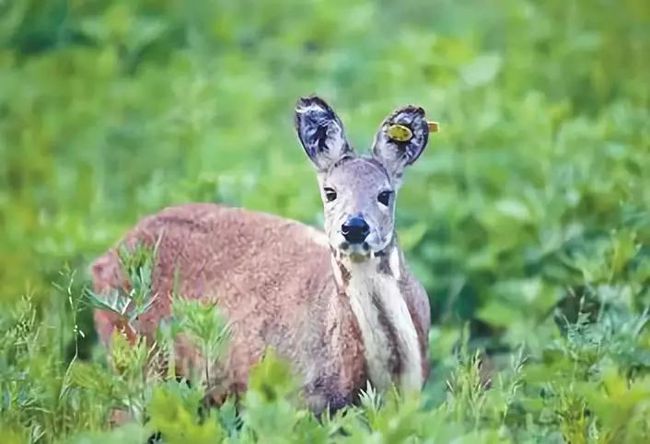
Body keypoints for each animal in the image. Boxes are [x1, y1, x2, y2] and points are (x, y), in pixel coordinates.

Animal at [91, 95, 432, 414]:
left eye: (385, 194)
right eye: (330, 192)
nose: (355, 227)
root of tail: (104, 259)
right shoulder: (302, 399)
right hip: (135, 357)